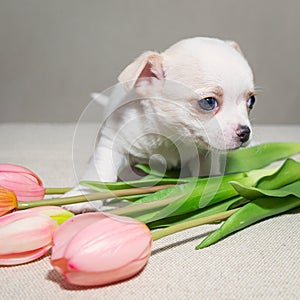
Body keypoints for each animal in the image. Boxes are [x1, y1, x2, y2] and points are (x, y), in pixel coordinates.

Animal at [65, 36, 255, 212]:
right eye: (208, 102)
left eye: (251, 101)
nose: (245, 132)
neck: (171, 137)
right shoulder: (114, 144)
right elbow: (100, 174)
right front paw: (84, 196)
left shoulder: (204, 154)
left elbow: (206, 173)